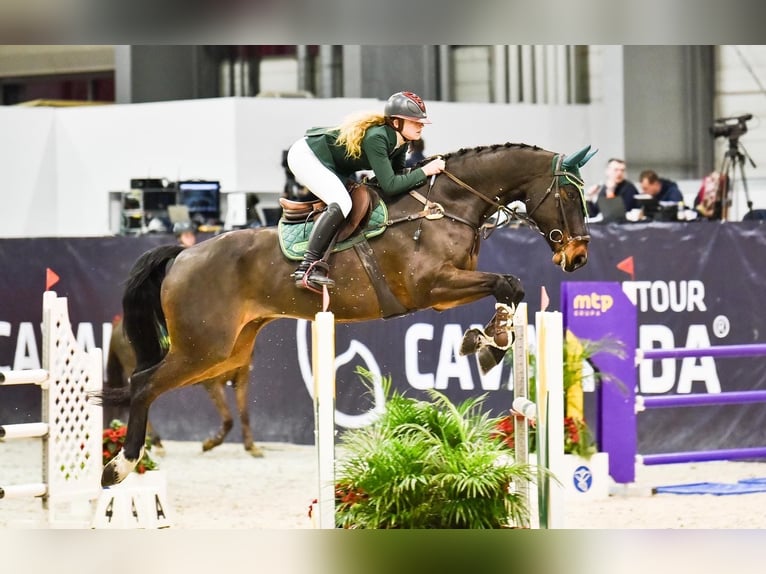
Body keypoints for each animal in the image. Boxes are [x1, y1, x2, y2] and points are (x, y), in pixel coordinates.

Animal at [105, 316, 262, 456]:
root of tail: (118, 325)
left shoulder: (242, 378)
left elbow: (244, 414)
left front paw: (251, 447)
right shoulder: (212, 383)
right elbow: (228, 419)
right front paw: (209, 444)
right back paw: (156, 443)